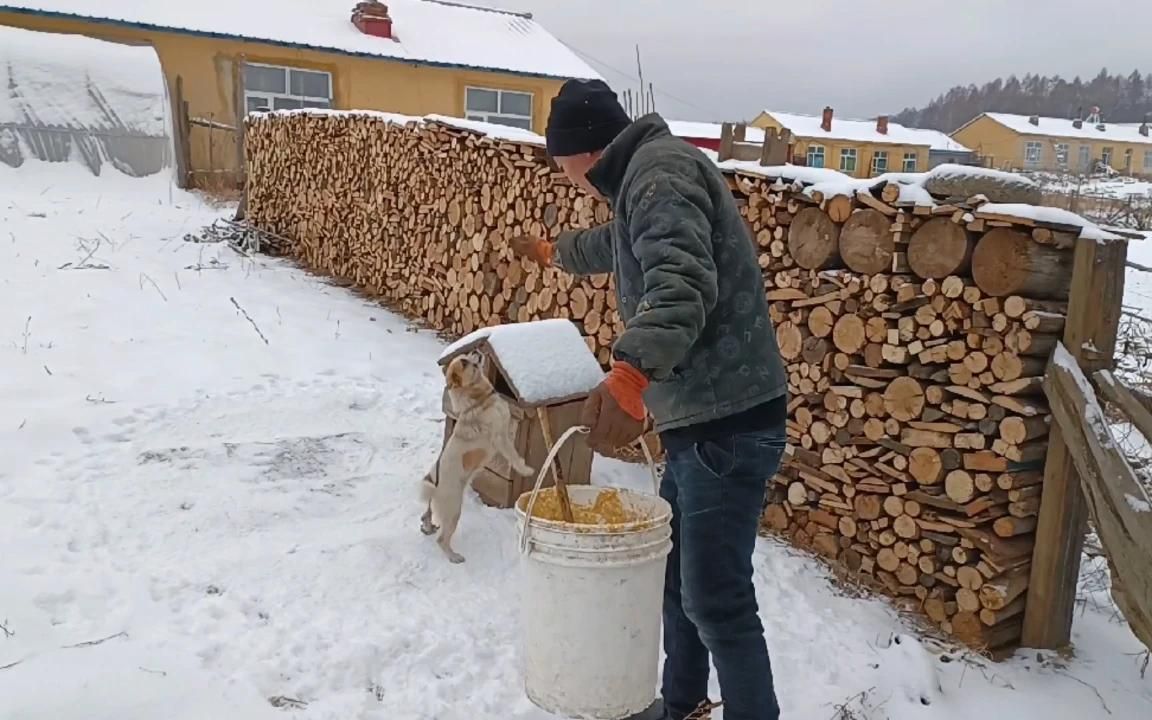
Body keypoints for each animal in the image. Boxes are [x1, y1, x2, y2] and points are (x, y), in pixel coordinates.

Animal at [421, 350, 532, 564]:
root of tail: (435, 488)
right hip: (454, 512)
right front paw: (526, 469)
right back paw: (454, 557)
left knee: (428, 515)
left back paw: (428, 525)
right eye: (464, 362)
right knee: (442, 540)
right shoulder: (501, 438)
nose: (476, 351)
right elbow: (513, 457)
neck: (479, 399)